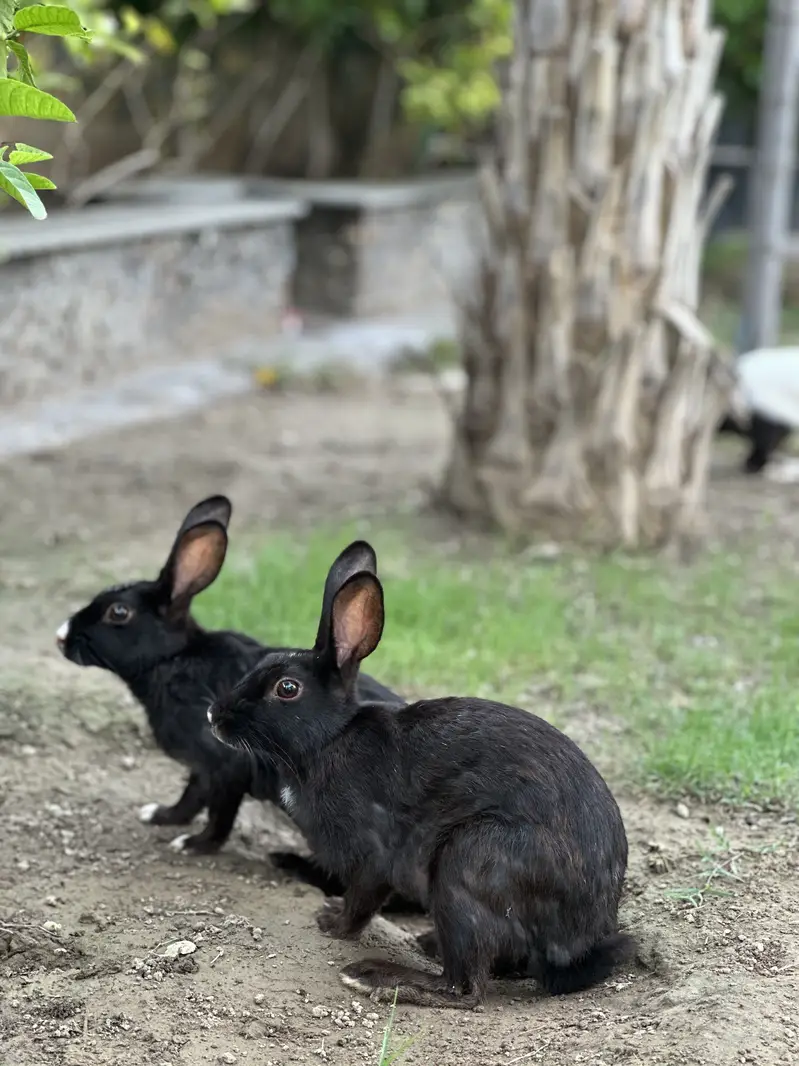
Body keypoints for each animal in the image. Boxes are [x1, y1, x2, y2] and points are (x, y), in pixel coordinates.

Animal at [55, 497, 406, 895]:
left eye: (118, 612)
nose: (61, 636)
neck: (173, 659)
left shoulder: (226, 765)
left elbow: (218, 813)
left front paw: (193, 844)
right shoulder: (201, 768)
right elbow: (190, 797)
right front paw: (161, 815)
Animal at [208, 541, 634, 1010]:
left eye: (287, 688)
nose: (215, 716)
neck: (331, 739)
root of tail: (578, 941)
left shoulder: (374, 856)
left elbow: (361, 901)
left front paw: (332, 924)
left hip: (467, 863)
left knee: (465, 987)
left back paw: (376, 975)